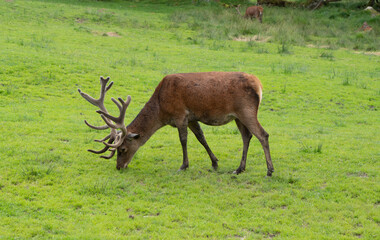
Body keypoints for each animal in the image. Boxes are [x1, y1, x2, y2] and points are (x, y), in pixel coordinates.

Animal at [78, 72, 274, 175]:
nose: (119, 167)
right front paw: (215, 162)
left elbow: (183, 140)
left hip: (246, 110)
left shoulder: (180, 115)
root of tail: (259, 85)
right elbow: (201, 138)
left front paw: (183, 165)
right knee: (247, 136)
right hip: (238, 116)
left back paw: (269, 170)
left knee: (262, 134)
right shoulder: (192, 117)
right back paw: (239, 168)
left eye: (123, 149)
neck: (161, 109)